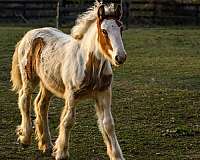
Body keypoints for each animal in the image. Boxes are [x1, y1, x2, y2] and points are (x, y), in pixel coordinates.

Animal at [10, 1, 126, 160]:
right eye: (104, 31)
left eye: (121, 28)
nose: (120, 57)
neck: (90, 65)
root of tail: (29, 34)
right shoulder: (72, 94)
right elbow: (68, 121)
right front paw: (61, 153)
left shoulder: (104, 93)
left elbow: (108, 124)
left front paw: (116, 155)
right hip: (29, 78)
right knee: (24, 100)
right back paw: (25, 138)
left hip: (48, 83)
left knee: (40, 105)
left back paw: (46, 145)